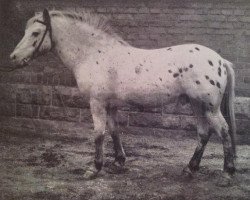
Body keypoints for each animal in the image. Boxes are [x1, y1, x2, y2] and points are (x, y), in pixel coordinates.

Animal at [9, 9, 236, 177]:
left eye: (35, 33)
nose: (13, 58)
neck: (94, 54)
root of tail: (220, 60)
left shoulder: (97, 102)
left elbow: (99, 134)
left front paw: (95, 168)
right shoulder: (110, 104)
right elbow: (114, 131)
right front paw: (119, 162)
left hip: (209, 107)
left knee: (223, 130)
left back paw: (228, 171)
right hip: (196, 104)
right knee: (204, 133)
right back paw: (190, 168)